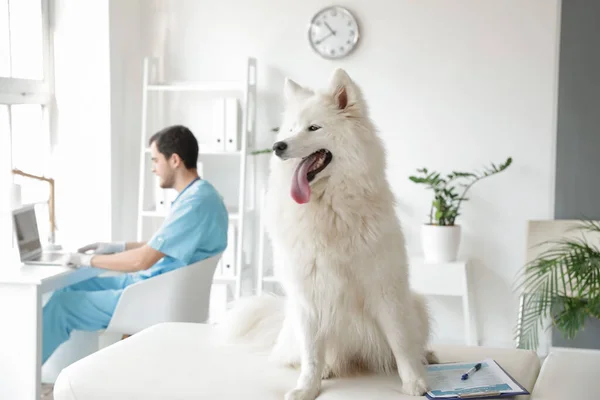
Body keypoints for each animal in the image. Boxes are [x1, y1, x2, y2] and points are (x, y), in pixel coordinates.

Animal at [218, 69, 434, 400]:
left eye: (313, 127)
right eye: (290, 129)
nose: (278, 146)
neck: (330, 210)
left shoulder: (385, 287)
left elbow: (400, 341)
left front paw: (413, 382)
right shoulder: (308, 295)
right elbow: (312, 353)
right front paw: (307, 387)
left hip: (417, 304)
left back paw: (428, 356)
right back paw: (327, 370)